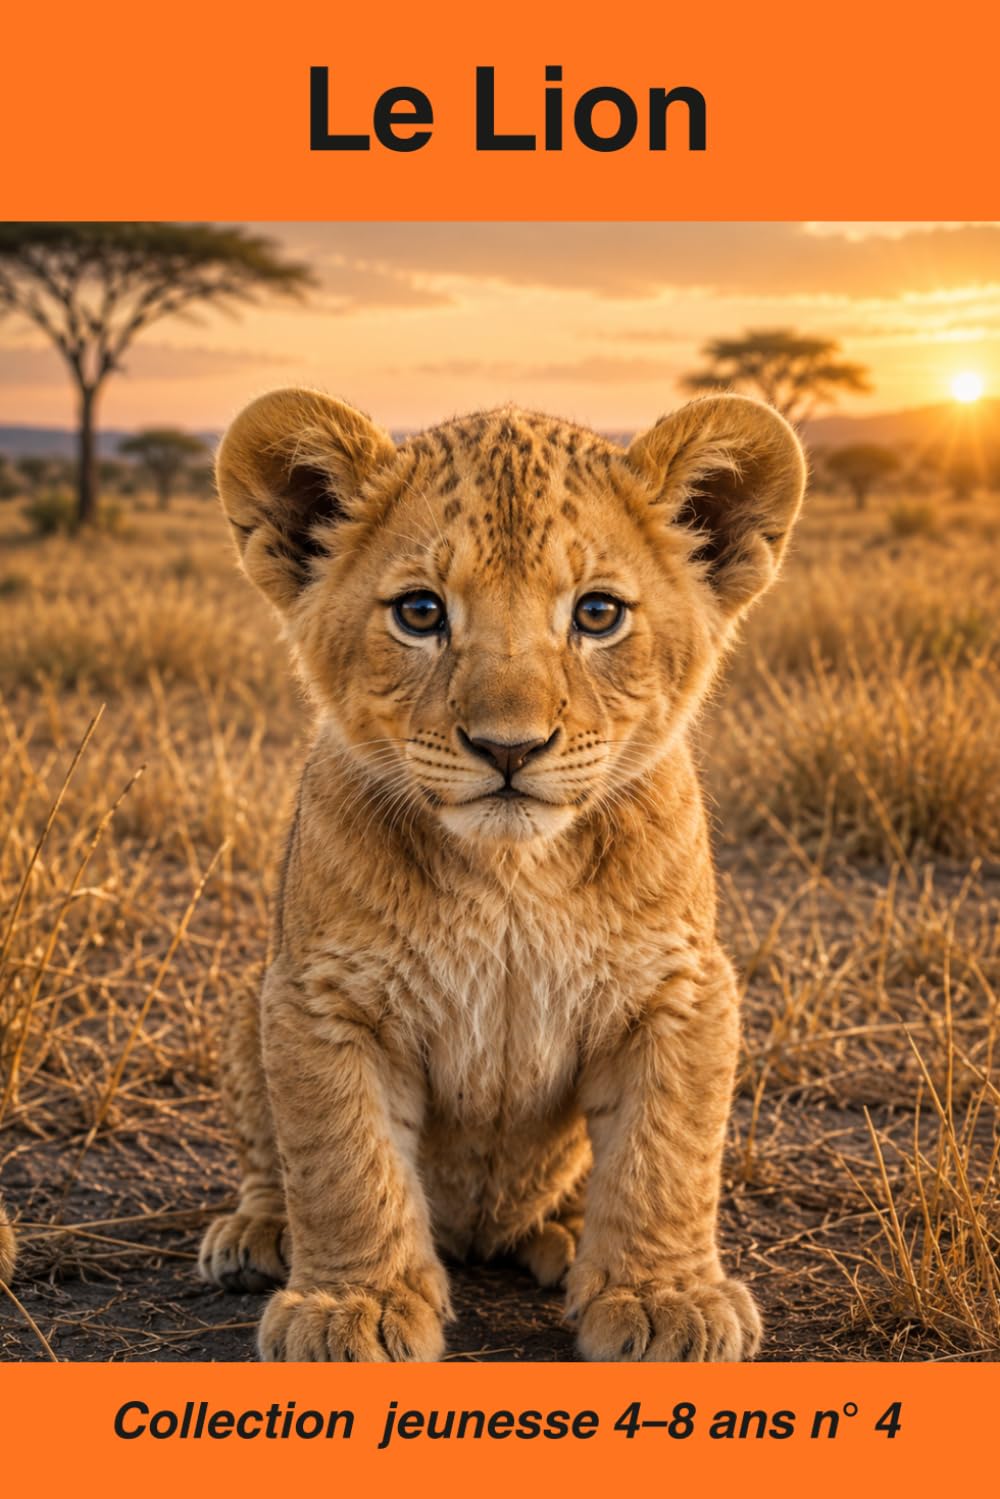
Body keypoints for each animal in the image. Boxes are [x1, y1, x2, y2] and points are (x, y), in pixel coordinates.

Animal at [199, 388, 805, 1362]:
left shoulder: (681, 989)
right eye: (420, 612)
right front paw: (350, 1307)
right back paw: (259, 1233)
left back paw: (563, 1233)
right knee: (270, 1157)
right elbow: (342, 1161)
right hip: (245, 1003)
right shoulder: (319, 996)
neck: (513, 877)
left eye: (597, 614)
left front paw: (663, 1298)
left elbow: (666, 1155)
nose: (509, 747)